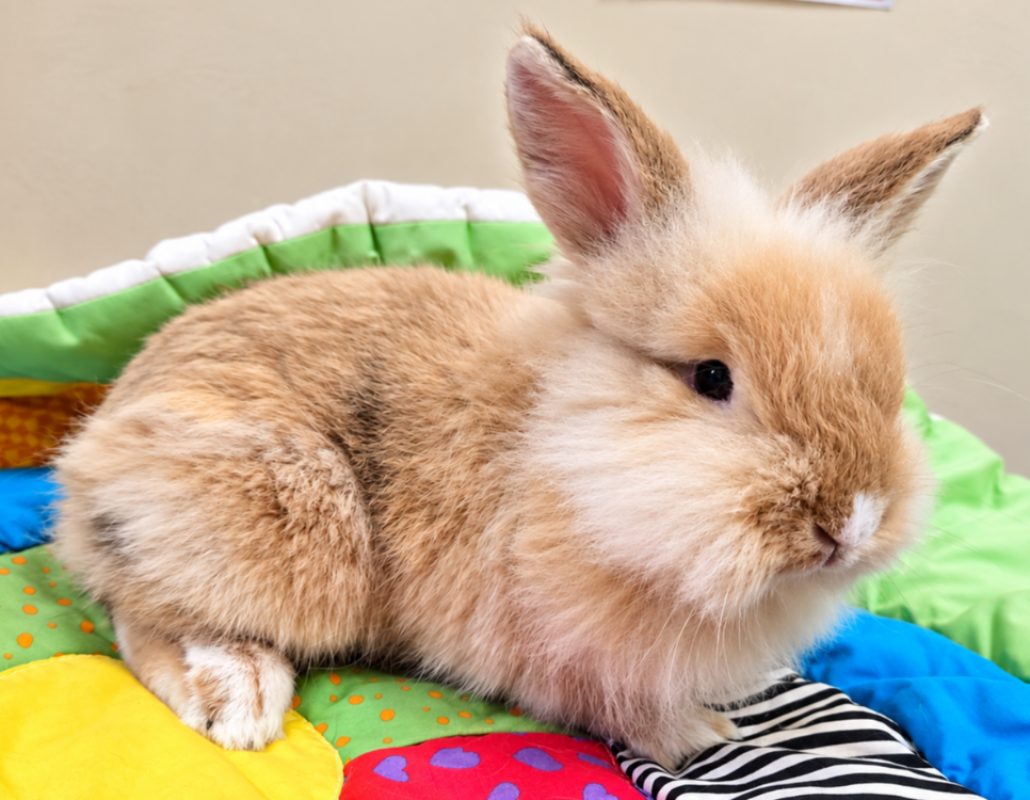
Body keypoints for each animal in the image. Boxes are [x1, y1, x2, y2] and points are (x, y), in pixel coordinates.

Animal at [53, 26, 983, 770]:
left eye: (887, 390)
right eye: (711, 378)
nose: (853, 521)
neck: (564, 458)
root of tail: (86, 454)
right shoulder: (570, 654)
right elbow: (623, 709)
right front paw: (702, 737)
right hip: (286, 523)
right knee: (136, 616)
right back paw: (241, 704)